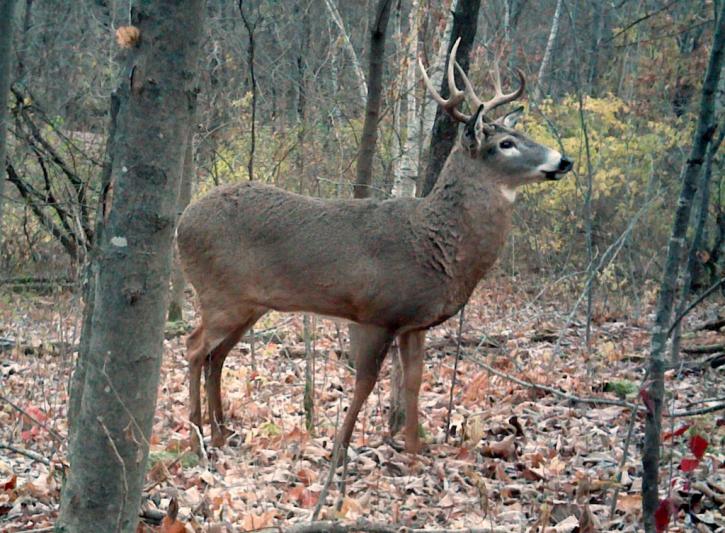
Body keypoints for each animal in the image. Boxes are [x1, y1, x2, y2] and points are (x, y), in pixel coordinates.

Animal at [176, 38, 573, 458]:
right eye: (505, 144)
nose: (564, 160)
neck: (434, 243)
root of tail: (182, 223)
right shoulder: (374, 313)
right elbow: (365, 383)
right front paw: (340, 448)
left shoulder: (415, 322)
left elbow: (413, 381)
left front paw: (414, 452)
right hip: (219, 293)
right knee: (194, 347)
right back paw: (196, 438)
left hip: (250, 304)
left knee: (216, 355)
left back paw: (220, 434)